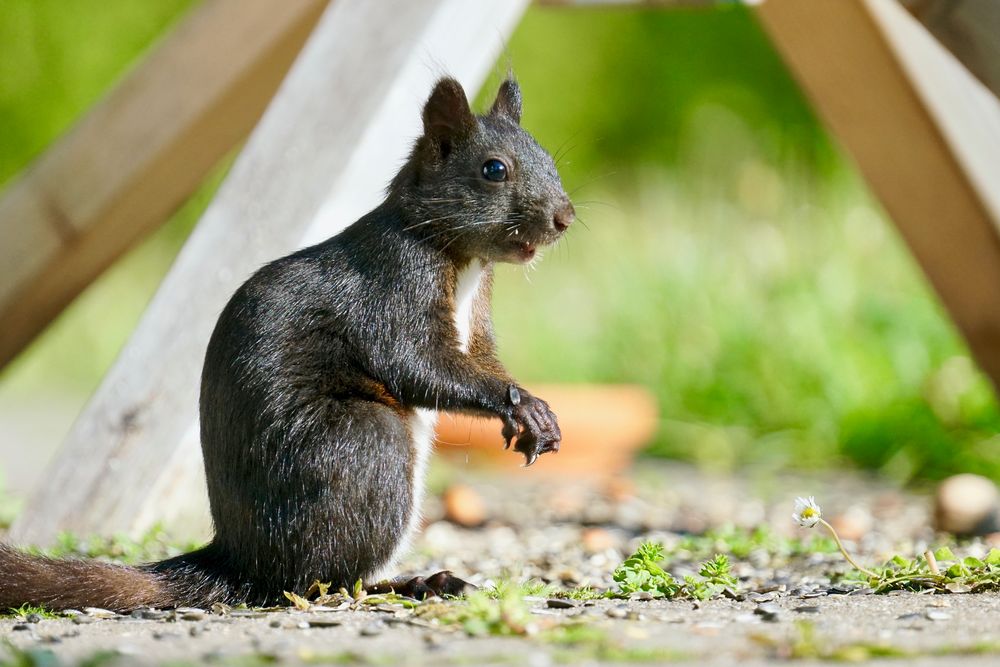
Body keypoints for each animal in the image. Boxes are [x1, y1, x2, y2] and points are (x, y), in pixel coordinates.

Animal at [0, 77, 576, 612]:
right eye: (494, 169)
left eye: (548, 157)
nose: (565, 217)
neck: (455, 253)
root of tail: (241, 561)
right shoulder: (394, 285)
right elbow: (418, 365)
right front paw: (523, 407)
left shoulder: (474, 322)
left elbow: (476, 361)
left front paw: (532, 407)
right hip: (366, 446)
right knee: (316, 582)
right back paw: (411, 583)